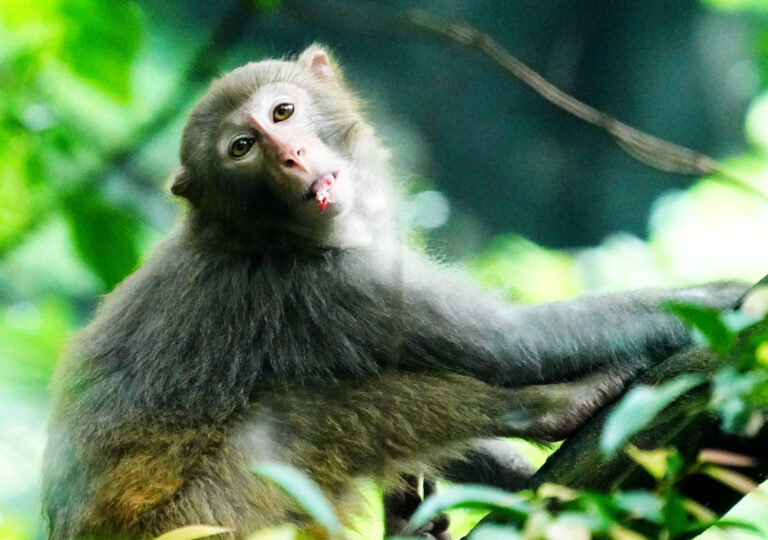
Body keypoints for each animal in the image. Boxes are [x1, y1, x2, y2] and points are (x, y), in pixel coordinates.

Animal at [41, 45, 748, 540]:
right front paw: (723, 299)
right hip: (203, 513)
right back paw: (549, 409)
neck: (259, 231)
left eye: (282, 113)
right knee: (285, 422)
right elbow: (511, 345)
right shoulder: (331, 286)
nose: (292, 156)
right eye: (242, 147)